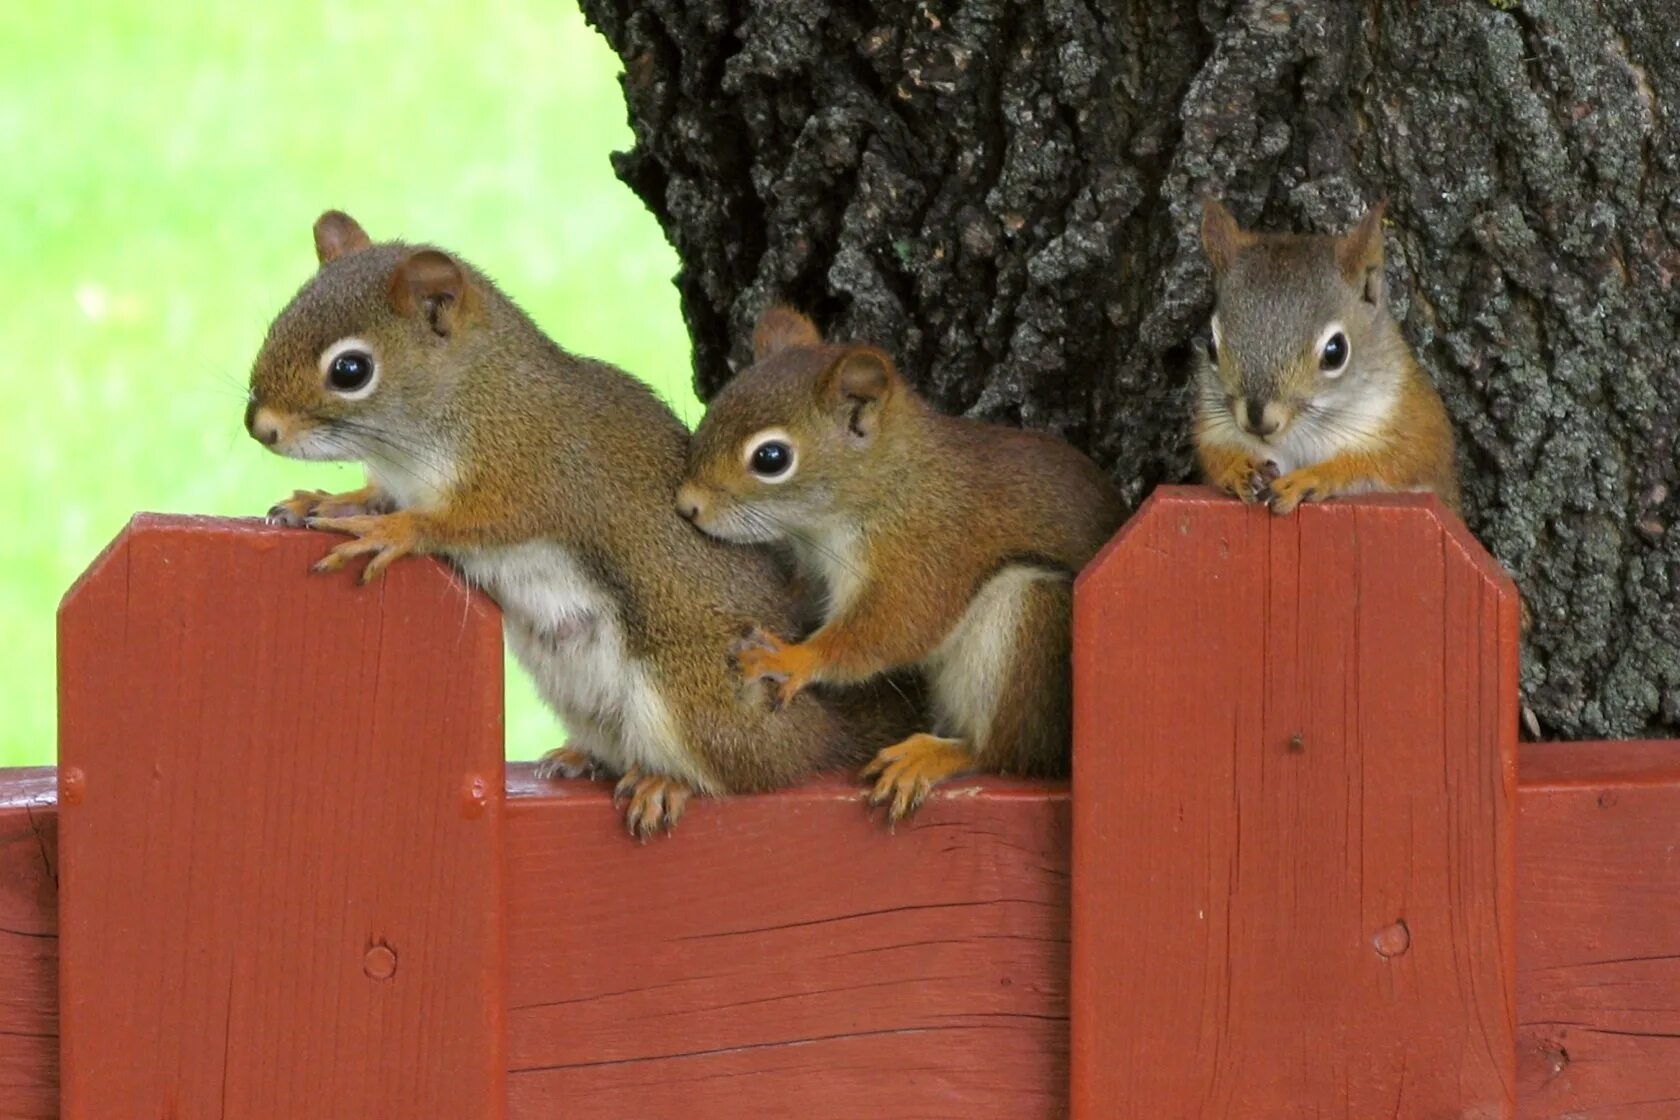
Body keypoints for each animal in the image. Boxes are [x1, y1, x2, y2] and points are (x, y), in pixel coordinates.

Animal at [243, 214, 913, 836]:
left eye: (350, 370)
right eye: (276, 323)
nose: (260, 428)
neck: (469, 396)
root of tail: (818, 733)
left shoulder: (532, 473)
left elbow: (470, 522)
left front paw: (391, 532)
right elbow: (378, 495)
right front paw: (327, 501)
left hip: (691, 698)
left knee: (747, 774)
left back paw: (668, 782)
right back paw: (581, 757)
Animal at [675, 307, 1122, 822]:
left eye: (771, 458)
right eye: (713, 410)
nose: (687, 505)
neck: (888, 483)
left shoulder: (925, 550)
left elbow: (893, 628)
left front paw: (791, 658)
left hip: (1031, 615)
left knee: (1003, 753)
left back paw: (934, 755)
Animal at [1196, 198, 1458, 513]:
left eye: (1336, 351)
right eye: (1211, 344)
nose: (1258, 421)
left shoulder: (1416, 429)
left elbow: (1387, 463)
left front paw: (1313, 476)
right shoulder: (1215, 427)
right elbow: (1215, 454)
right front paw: (1237, 468)